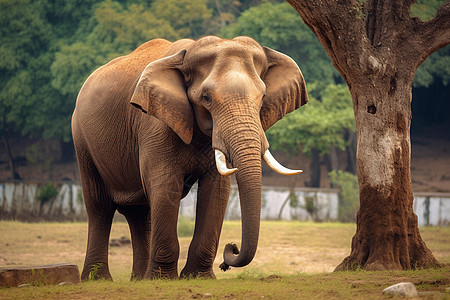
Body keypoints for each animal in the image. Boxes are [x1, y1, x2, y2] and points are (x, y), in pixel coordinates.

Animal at [71, 35, 310, 282]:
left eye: (262, 97)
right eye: (206, 98)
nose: (230, 253)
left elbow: (217, 189)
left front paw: (198, 277)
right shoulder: (155, 125)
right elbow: (166, 185)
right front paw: (164, 279)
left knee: (139, 213)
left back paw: (139, 279)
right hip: (82, 138)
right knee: (100, 206)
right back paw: (99, 279)